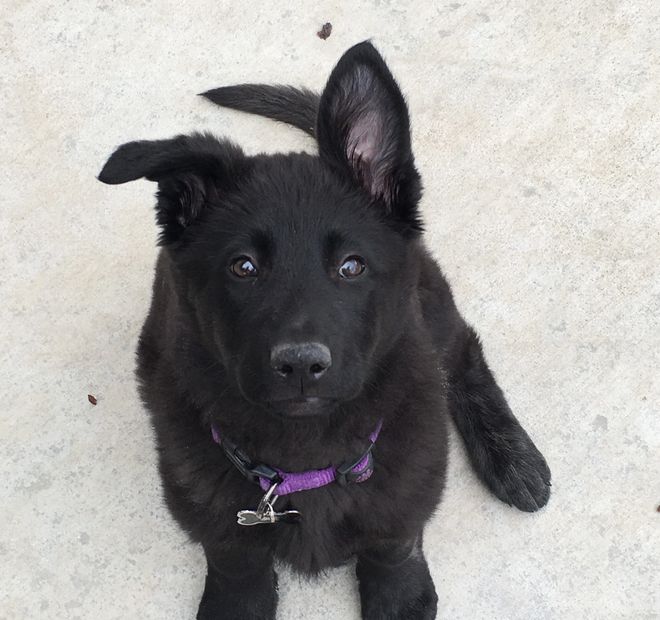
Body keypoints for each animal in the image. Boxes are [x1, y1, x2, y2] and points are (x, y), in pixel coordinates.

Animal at [99, 42, 552, 620]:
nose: (300, 365)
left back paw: (514, 460)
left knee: (464, 353)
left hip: (429, 303)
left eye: (351, 266)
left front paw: (398, 592)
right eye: (243, 267)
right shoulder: (220, 526)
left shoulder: (405, 493)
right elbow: (234, 557)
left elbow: (394, 540)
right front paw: (239, 599)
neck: (305, 461)